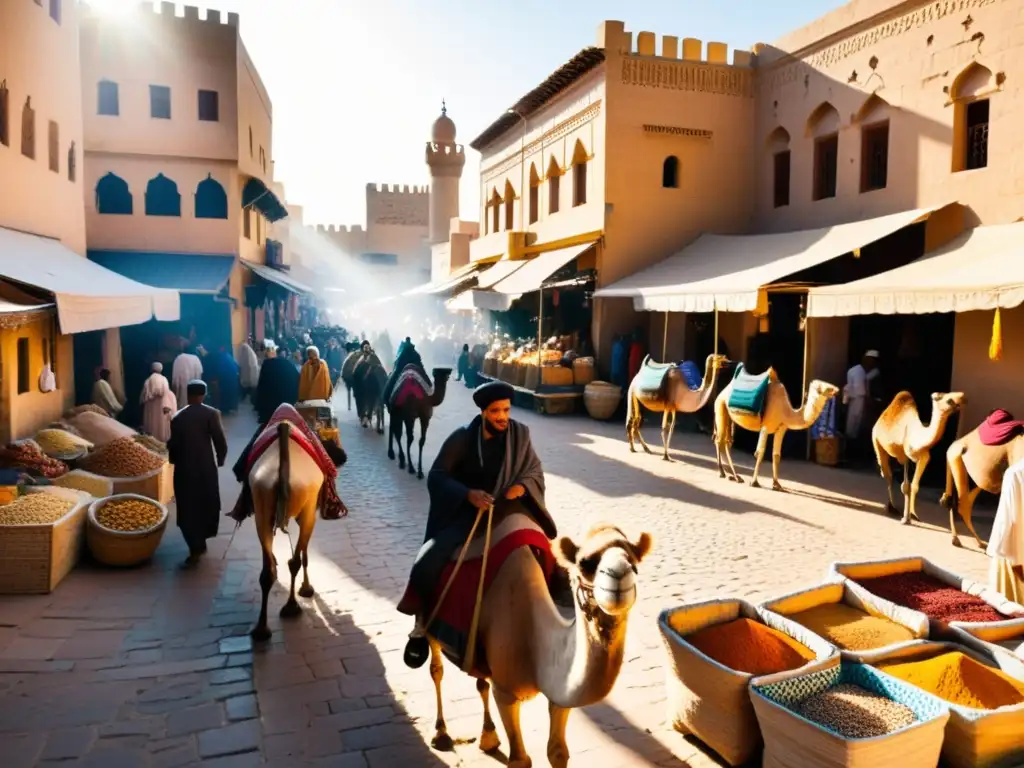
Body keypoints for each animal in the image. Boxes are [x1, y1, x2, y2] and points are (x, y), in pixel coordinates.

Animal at [248, 421, 323, 643]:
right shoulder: (310, 510)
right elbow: (304, 553)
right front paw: (306, 588)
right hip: (305, 504)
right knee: (294, 561)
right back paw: (291, 606)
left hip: (261, 508)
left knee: (269, 570)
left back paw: (262, 628)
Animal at [425, 524, 651, 768]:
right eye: (585, 563)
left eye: (634, 561)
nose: (620, 574)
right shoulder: (504, 692)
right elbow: (519, 759)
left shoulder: (560, 691)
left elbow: (557, 752)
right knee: (436, 669)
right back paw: (441, 734)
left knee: (480, 678)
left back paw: (489, 738)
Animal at [872, 393, 966, 528]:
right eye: (949, 400)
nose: (963, 399)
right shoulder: (905, 455)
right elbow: (906, 486)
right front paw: (906, 518)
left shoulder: (923, 457)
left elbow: (913, 486)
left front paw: (911, 517)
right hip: (877, 442)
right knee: (887, 475)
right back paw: (891, 507)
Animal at [942, 415, 1024, 548]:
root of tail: (954, 444)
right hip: (958, 464)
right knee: (960, 505)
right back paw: (971, 542)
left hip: (972, 477)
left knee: (957, 503)